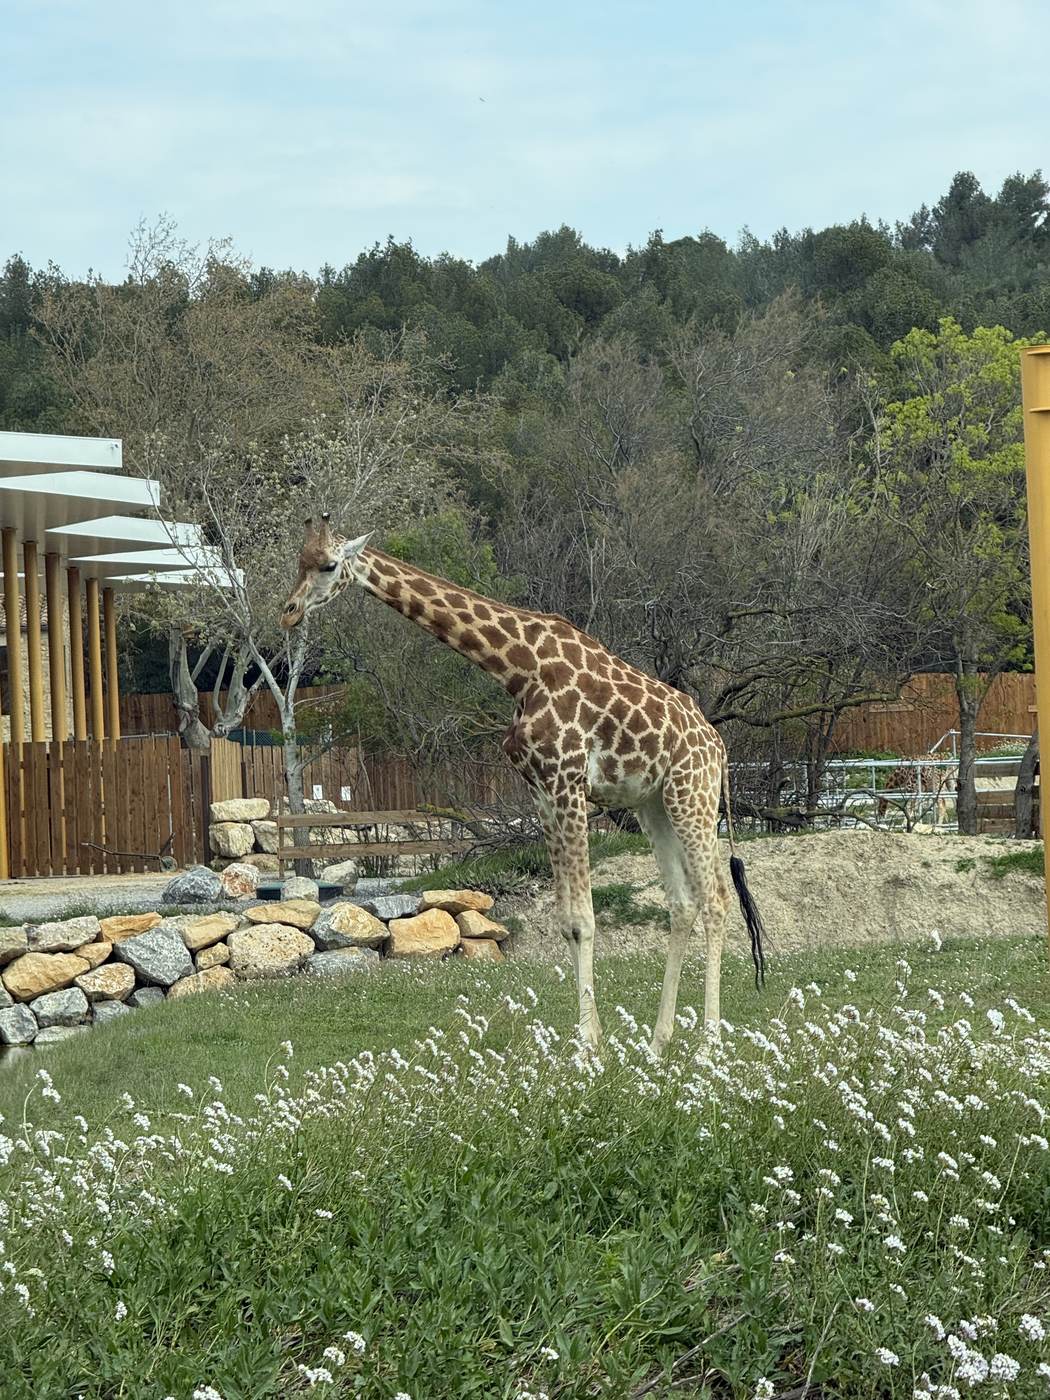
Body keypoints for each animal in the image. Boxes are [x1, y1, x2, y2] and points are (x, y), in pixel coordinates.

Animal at [280, 516, 766, 1054]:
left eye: (328, 565)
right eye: (298, 562)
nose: (288, 612)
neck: (517, 668)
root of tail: (719, 746)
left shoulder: (567, 781)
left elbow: (584, 918)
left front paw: (589, 1047)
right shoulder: (540, 790)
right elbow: (567, 922)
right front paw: (589, 1040)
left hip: (691, 795)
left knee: (717, 899)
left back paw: (708, 1043)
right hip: (653, 805)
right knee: (682, 904)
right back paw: (659, 1045)